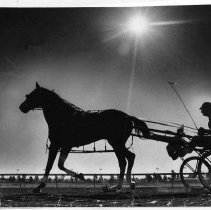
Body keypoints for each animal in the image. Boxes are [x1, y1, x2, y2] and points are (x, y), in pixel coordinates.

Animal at [19, 81, 149, 192]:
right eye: (28, 95)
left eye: (33, 96)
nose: (21, 107)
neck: (62, 116)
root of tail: (128, 116)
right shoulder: (61, 146)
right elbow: (56, 165)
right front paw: (80, 176)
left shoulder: (59, 145)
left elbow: (52, 165)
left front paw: (40, 186)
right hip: (116, 144)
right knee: (125, 161)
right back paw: (120, 185)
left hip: (116, 143)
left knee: (128, 158)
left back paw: (123, 185)